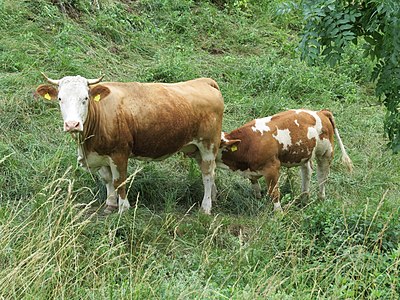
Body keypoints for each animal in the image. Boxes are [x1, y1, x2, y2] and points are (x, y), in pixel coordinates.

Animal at [35, 75, 223, 216]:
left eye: (85, 98)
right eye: (60, 99)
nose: (72, 124)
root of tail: (204, 81)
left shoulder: (119, 153)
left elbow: (119, 181)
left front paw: (123, 208)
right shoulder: (101, 155)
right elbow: (107, 179)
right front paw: (110, 204)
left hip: (208, 144)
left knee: (207, 175)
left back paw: (206, 207)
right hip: (195, 148)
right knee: (210, 171)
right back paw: (213, 198)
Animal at [217, 108, 352, 211]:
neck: (248, 143)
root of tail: (321, 112)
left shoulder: (272, 168)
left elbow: (274, 192)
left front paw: (278, 213)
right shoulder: (252, 170)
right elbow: (254, 183)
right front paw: (257, 197)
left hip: (326, 153)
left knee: (322, 176)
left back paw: (320, 198)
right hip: (305, 153)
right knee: (307, 172)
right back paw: (304, 197)